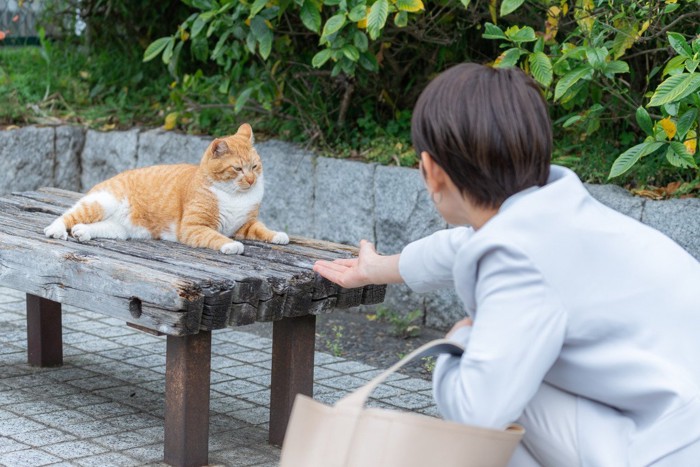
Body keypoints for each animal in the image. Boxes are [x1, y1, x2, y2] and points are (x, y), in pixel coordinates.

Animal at [43, 123, 288, 256]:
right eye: (237, 169)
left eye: (255, 166)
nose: (251, 180)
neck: (234, 196)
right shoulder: (194, 227)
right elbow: (215, 236)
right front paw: (232, 245)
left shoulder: (246, 224)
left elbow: (262, 230)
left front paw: (278, 235)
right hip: (100, 203)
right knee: (66, 216)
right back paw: (55, 230)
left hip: (119, 229)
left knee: (92, 226)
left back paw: (81, 232)